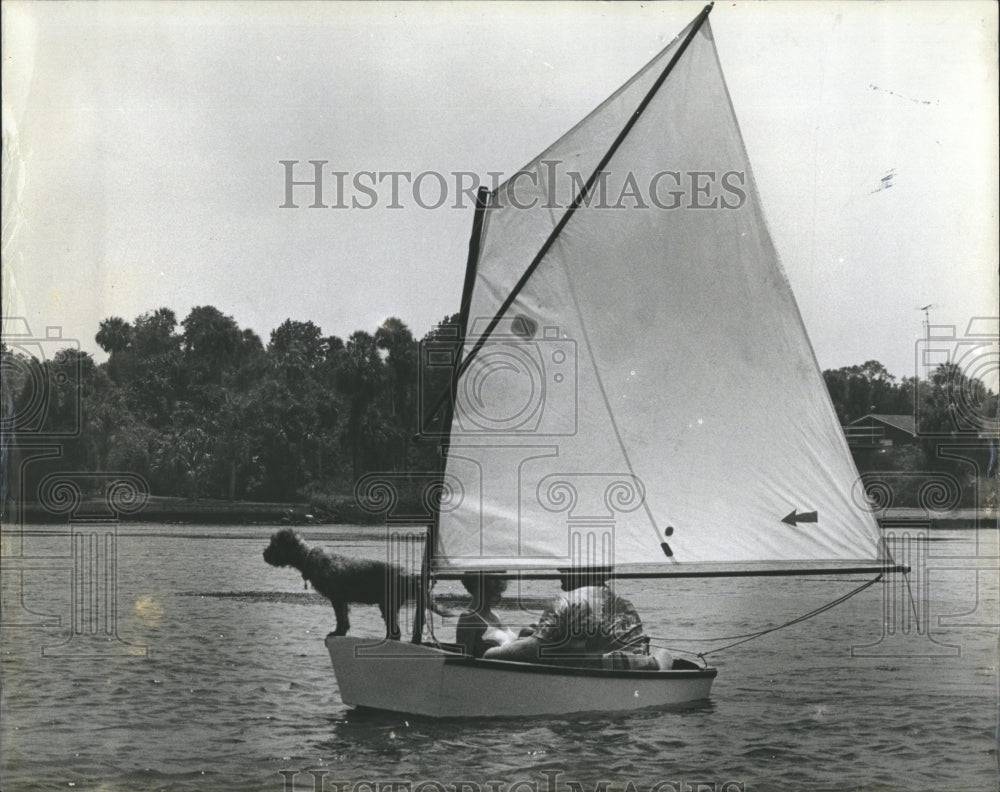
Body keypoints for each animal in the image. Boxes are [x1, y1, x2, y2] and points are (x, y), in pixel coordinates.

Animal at [262, 528, 450, 640]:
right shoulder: (342, 600)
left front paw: (337, 632)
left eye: (274, 544)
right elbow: (344, 618)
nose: (264, 554)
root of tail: (413, 576)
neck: (307, 558)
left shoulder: (337, 598)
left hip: (387, 604)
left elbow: (341, 618)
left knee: (395, 632)